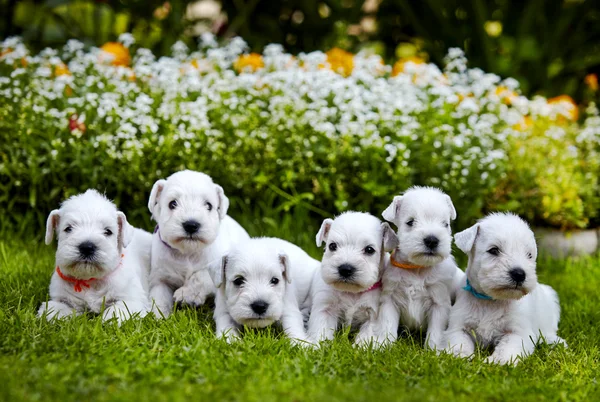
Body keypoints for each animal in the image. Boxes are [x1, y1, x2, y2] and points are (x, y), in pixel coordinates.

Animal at [37, 190, 152, 326]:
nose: (87, 247)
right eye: (68, 228)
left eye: (108, 231)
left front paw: (107, 322)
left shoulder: (131, 299)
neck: (90, 280)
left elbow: (116, 310)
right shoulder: (61, 298)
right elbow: (54, 309)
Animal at [149, 168, 250, 316]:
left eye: (208, 205)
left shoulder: (217, 269)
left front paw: (186, 294)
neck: (187, 253)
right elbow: (158, 297)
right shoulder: (160, 277)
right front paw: (157, 315)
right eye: (172, 204)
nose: (191, 225)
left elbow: (201, 276)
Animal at [310, 212, 398, 348]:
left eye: (369, 249)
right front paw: (317, 347)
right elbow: (321, 330)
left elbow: (367, 335)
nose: (345, 269)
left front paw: (361, 348)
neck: (352, 291)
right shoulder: (325, 309)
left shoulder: (372, 315)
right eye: (332, 246)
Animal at [372, 188, 466, 348]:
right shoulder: (390, 300)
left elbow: (435, 331)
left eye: (445, 224)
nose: (432, 240)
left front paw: (434, 350)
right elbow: (387, 325)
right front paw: (384, 345)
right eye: (410, 222)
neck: (418, 268)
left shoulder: (439, 303)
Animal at [442, 212, 564, 366]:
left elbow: (507, 347)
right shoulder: (458, 327)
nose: (519, 274)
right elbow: (459, 342)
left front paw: (499, 361)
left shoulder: (518, 332)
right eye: (494, 250)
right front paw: (457, 357)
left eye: (529, 255)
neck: (491, 300)